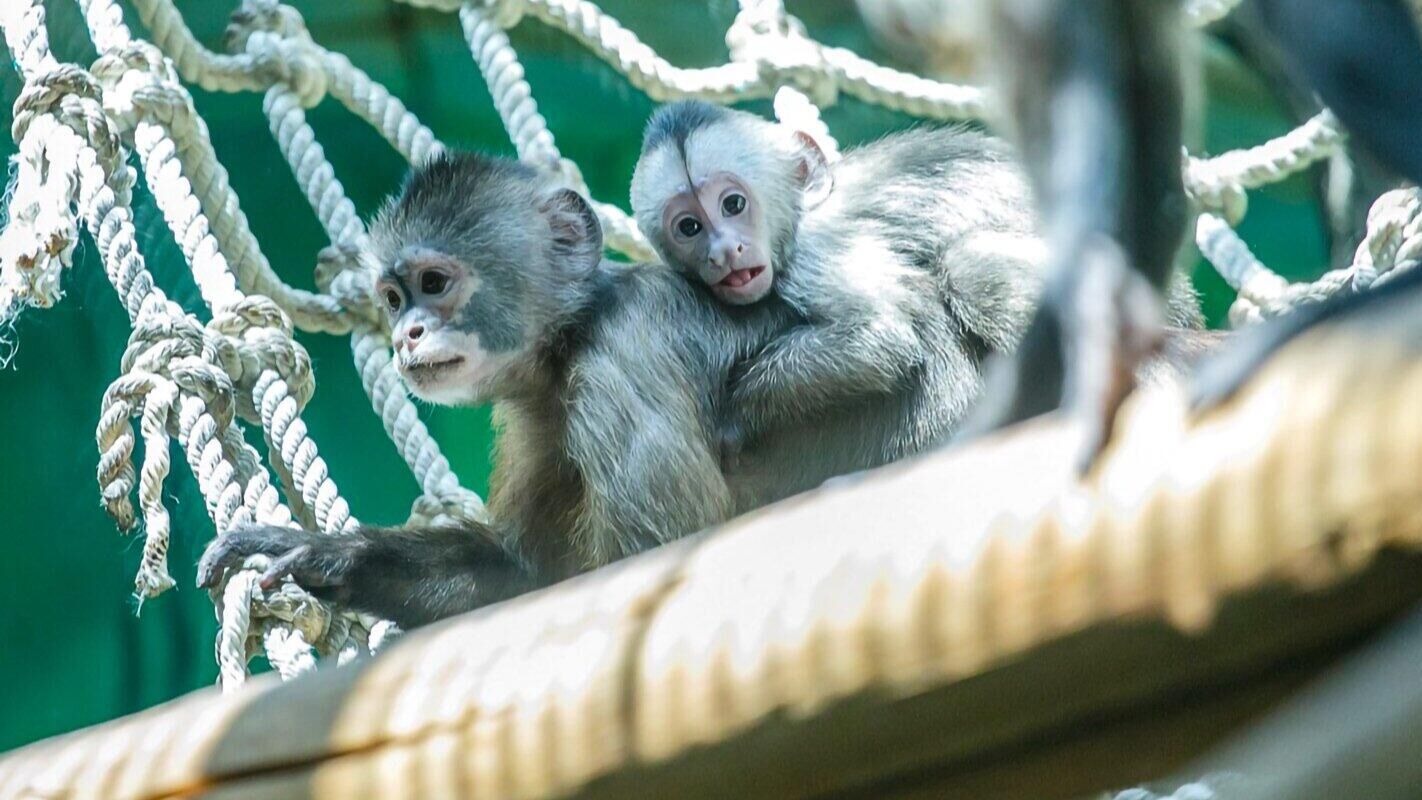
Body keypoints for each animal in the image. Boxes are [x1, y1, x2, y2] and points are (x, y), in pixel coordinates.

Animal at [634, 98, 1211, 468]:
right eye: (689, 227)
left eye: (734, 203)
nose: (723, 252)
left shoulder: (817, 250)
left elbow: (878, 337)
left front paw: (734, 418)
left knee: (971, 268)